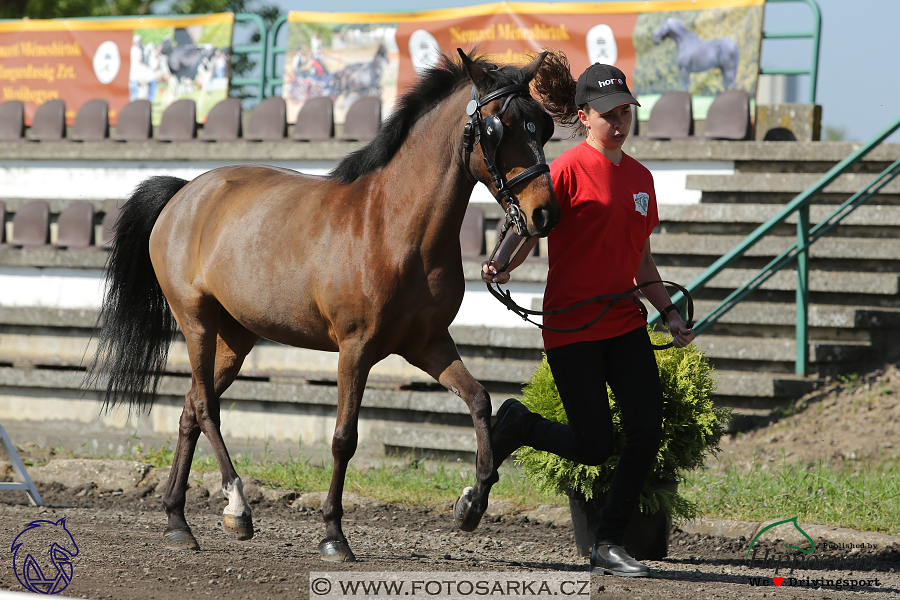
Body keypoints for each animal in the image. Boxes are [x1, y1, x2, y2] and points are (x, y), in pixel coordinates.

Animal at [88, 50, 560, 564]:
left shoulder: (427, 344)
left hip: (237, 337)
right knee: (207, 407)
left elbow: (478, 400)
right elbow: (343, 439)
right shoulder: (356, 349)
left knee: (192, 406)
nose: (544, 214)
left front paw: (472, 502)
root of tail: (184, 192)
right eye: (499, 127)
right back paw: (237, 507)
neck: (394, 226)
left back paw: (178, 521)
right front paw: (333, 534)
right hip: (196, 323)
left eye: (541, 126)